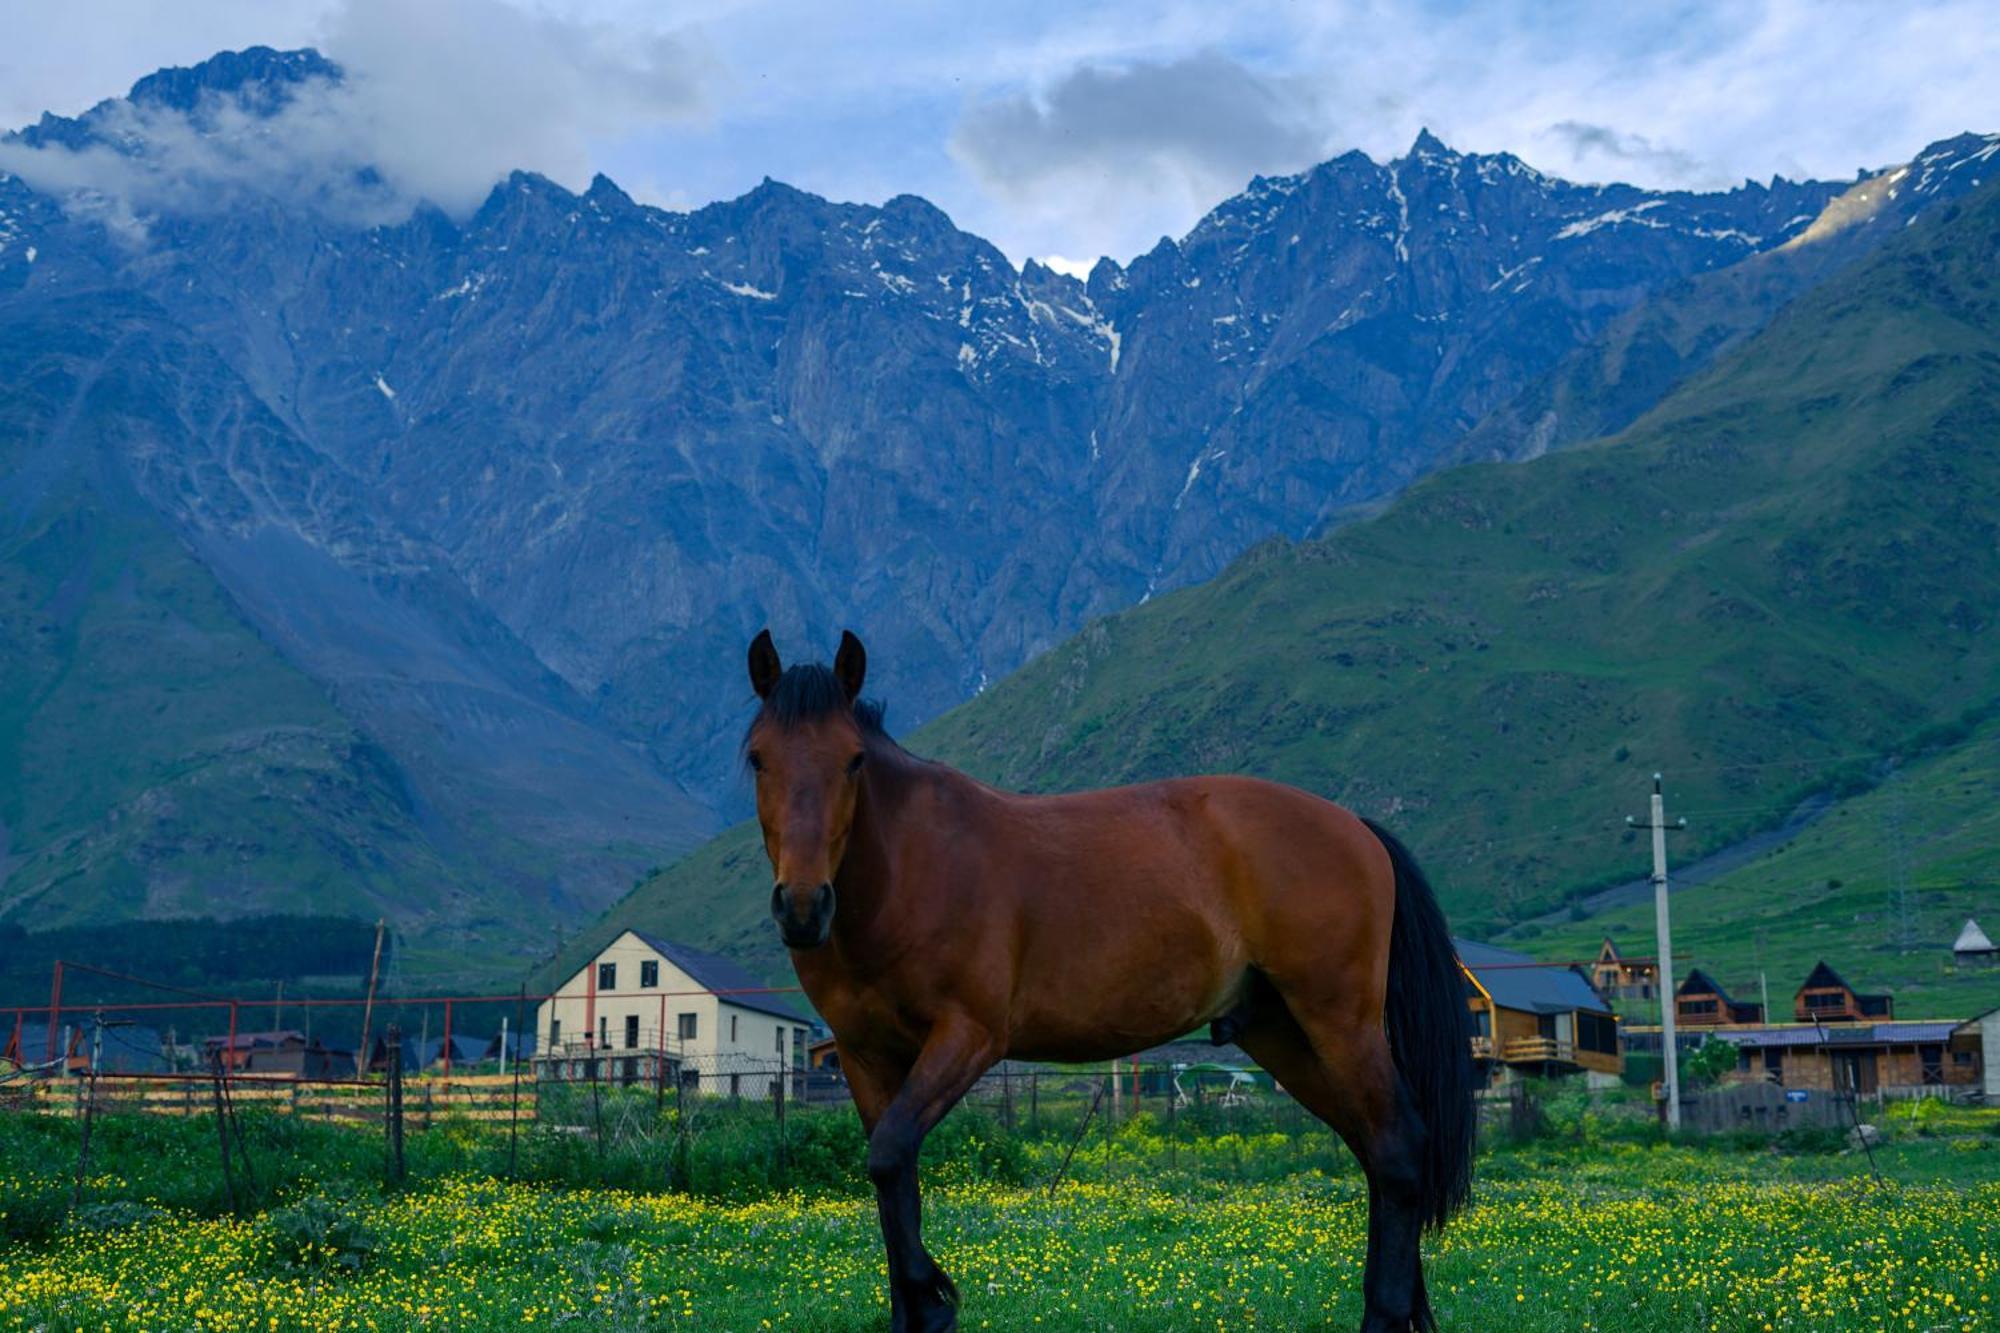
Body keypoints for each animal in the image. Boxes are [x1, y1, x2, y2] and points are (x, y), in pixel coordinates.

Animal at [744, 628, 1480, 1320]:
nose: (803, 906)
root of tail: (1354, 825)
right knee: (1373, 1149)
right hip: (1283, 1034)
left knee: (1397, 1149)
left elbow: (891, 1156)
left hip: (1340, 1022)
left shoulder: (967, 1037)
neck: (909, 872)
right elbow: (894, 1181)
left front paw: (936, 1294)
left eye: (854, 759)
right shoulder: (865, 1055)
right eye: (756, 757)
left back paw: (1387, 1311)